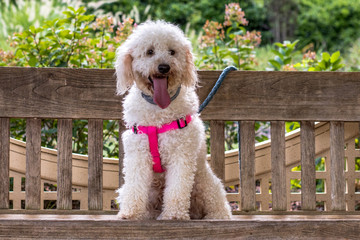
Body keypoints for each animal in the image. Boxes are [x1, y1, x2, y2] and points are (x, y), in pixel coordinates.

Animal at [116, 21, 233, 221]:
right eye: (149, 51)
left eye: (172, 52)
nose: (164, 67)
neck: (159, 111)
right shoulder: (138, 154)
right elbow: (135, 185)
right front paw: (131, 213)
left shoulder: (181, 153)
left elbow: (177, 189)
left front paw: (174, 215)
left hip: (205, 183)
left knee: (218, 204)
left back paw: (216, 216)